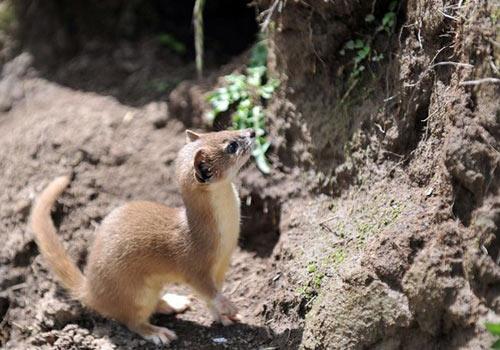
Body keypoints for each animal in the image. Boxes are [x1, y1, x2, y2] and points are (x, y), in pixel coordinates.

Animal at [30, 128, 256, 344]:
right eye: (231, 145)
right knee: (132, 321)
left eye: (223, 130)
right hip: (136, 293)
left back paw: (173, 301)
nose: (252, 132)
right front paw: (229, 306)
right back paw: (159, 333)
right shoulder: (194, 265)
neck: (225, 236)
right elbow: (207, 291)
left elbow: (211, 298)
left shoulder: (222, 265)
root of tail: (91, 290)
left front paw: (225, 317)